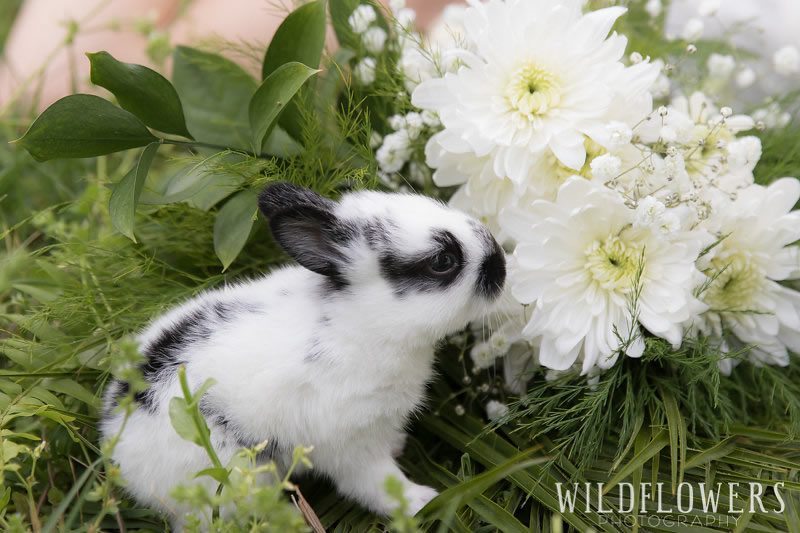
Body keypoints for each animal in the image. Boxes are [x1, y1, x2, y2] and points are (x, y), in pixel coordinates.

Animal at [98, 182, 500, 524]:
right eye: (442, 261)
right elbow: (373, 482)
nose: (501, 264)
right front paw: (419, 501)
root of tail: (115, 443)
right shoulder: (351, 443)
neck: (359, 320)